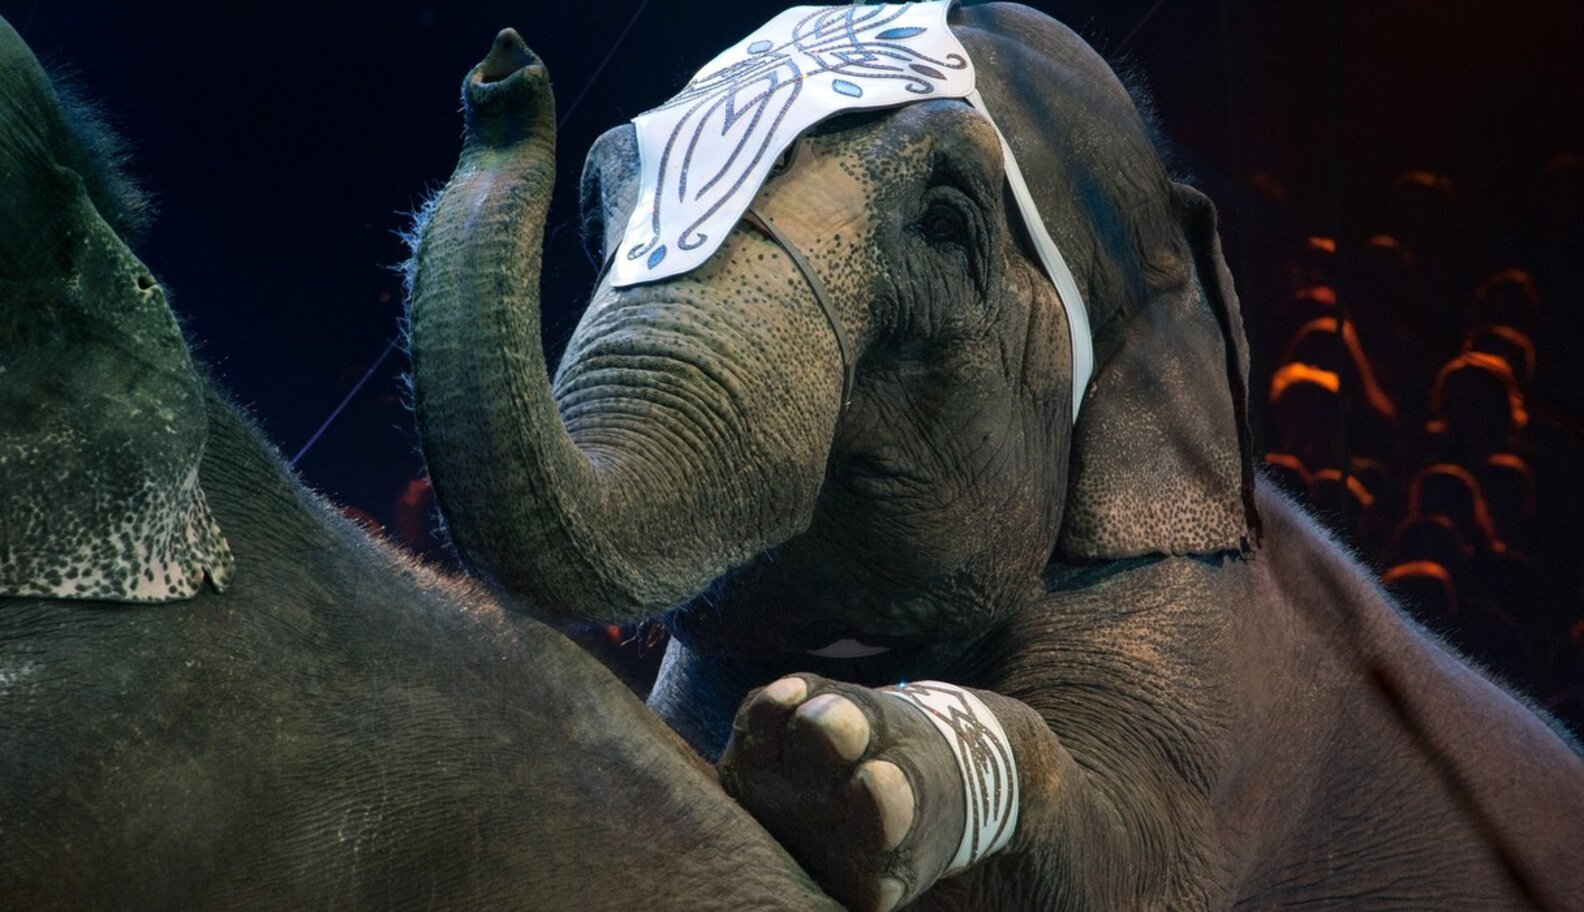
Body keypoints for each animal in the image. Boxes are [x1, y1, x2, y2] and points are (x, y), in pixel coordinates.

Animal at [404, 3, 1584, 911]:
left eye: (943, 221)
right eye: (601, 213)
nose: (500, 74)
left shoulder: (1217, 651)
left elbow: (1123, 868)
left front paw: (838, 756)